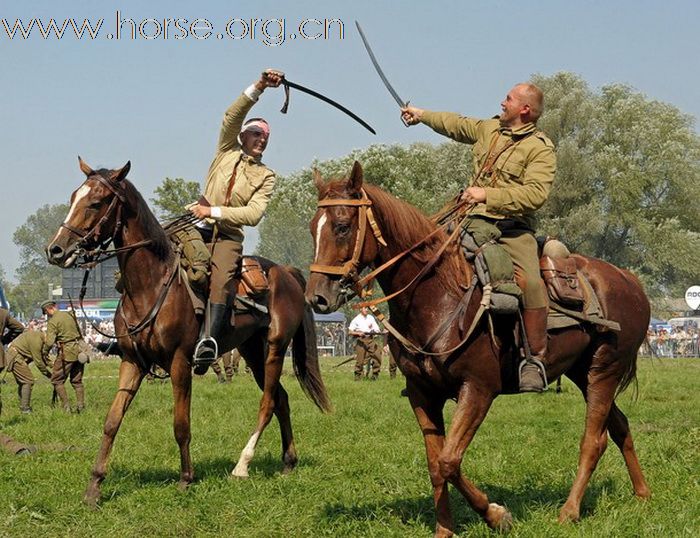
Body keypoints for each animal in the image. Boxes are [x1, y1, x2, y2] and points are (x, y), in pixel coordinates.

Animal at [45, 157, 330, 504]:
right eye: (74, 197)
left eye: (96, 202)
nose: (56, 250)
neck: (152, 285)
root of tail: (286, 273)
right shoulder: (132, 362)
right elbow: (112, 422)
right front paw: (94, 487)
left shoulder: (180, 362)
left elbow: (181, 424)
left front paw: (185, 478)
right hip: (251, 351)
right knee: (281, 399)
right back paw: (288, 462)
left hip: (275, 348)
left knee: (268, 403)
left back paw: (244, 464)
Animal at [306, 161, 652, 532]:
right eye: (314, 228)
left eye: (342, 226)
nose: (317, 297)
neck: (440, 295)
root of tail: (629, 281)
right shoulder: (422, 393)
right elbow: (435, 464)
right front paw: (445, 529)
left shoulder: (478, 389)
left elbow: (449, 460)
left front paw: (497, 515)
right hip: (582, 373)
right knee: (618, 427)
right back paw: (642, 493)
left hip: (604, 370)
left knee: (593, 440)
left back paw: (569, 511)